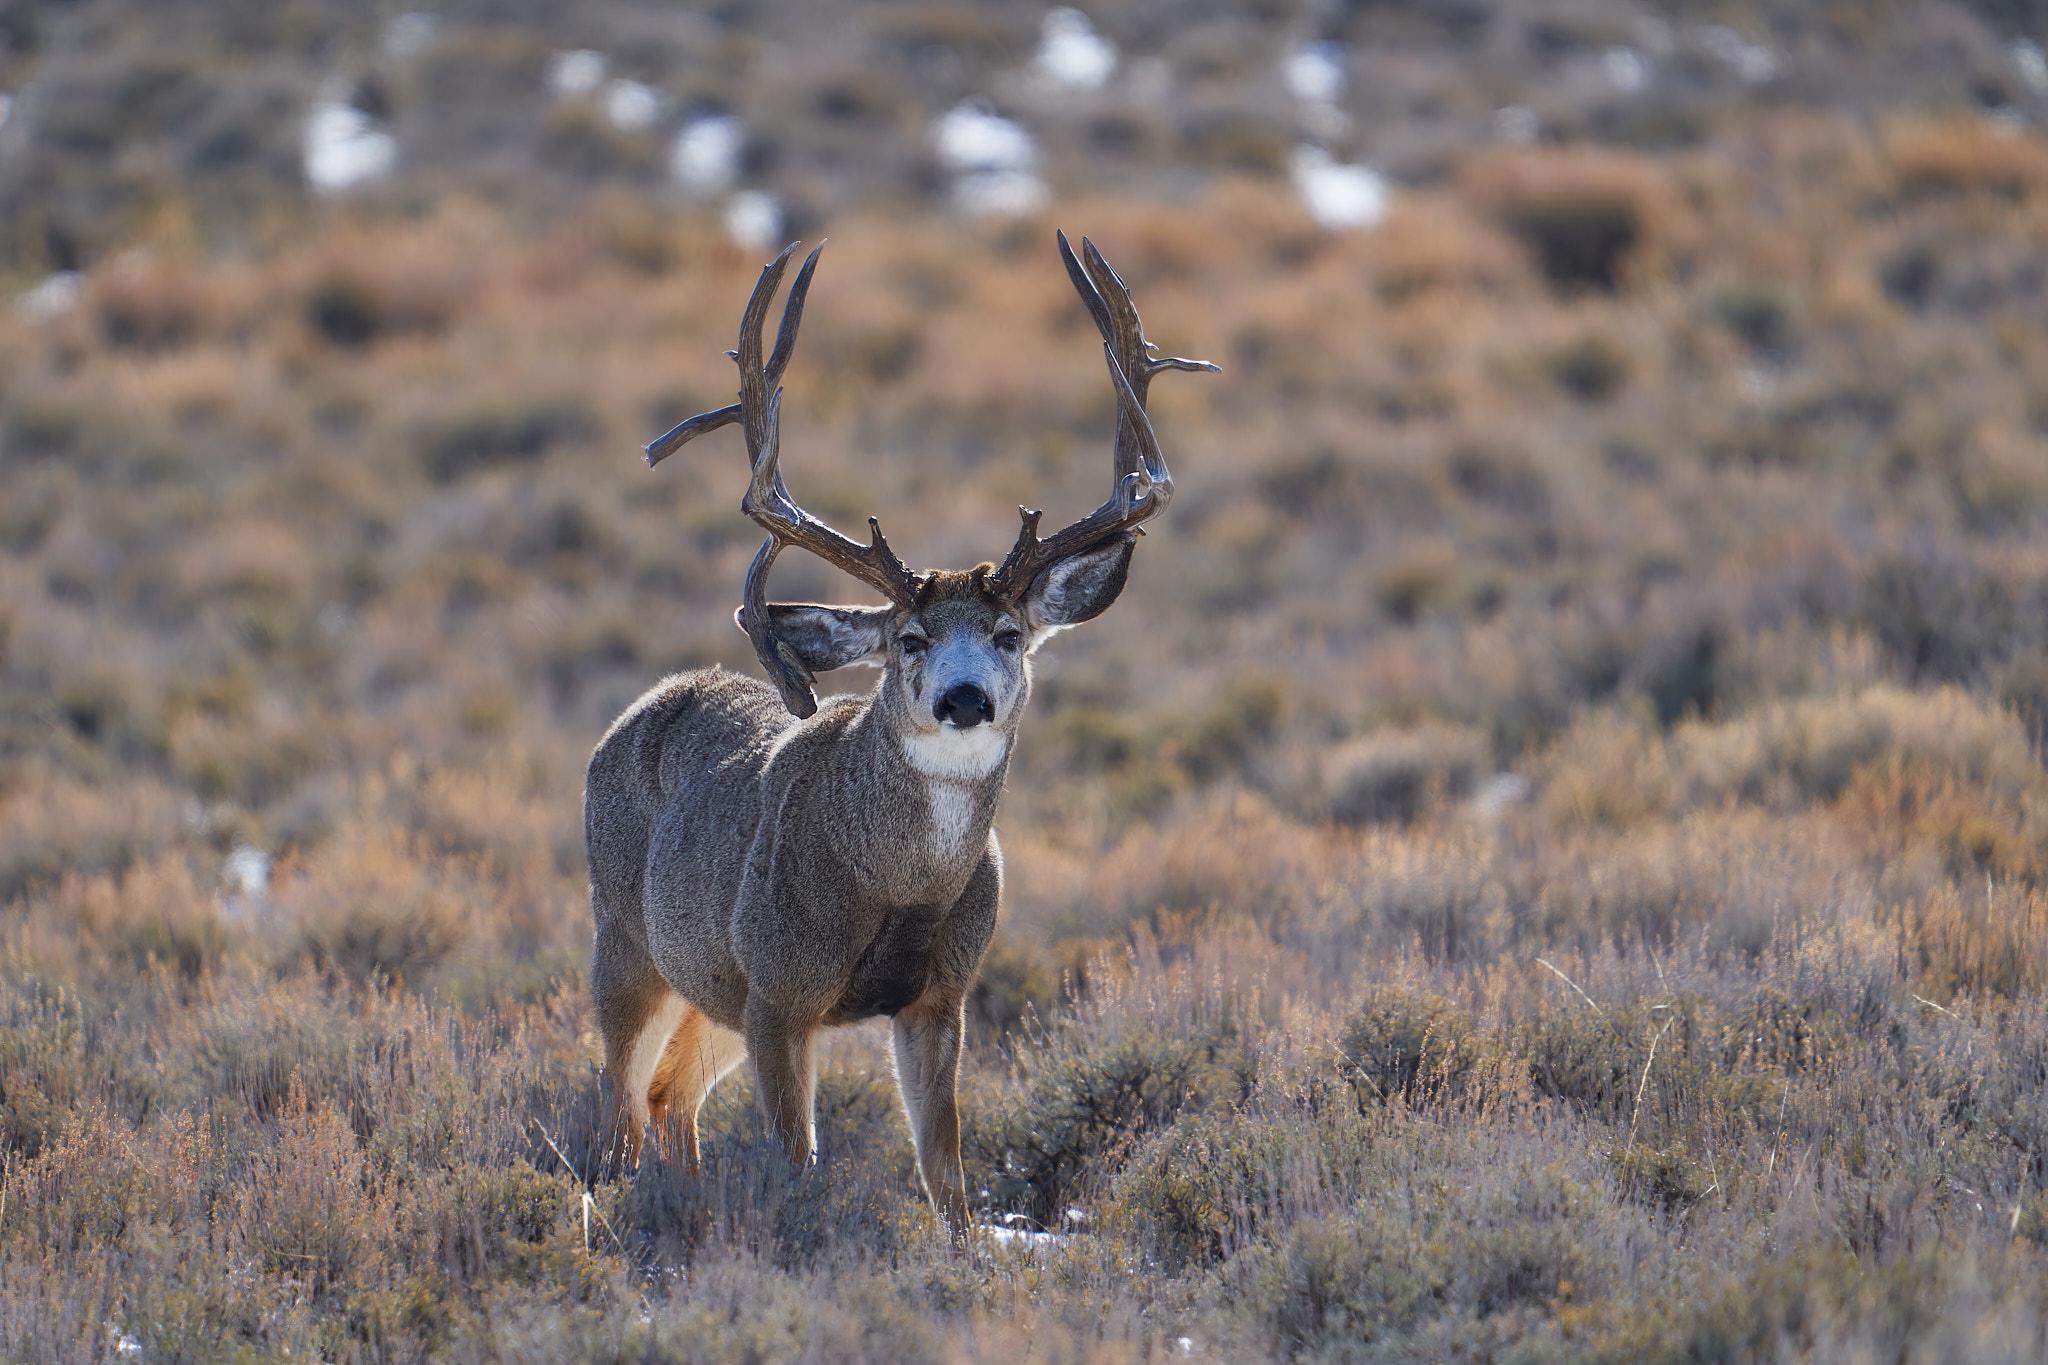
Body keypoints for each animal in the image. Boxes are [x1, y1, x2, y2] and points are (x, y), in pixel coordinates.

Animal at [583, 231, 1214, 1239]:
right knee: (616, 1112)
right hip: (625, 938)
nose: (963, 699)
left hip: (711, 992)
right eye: (910, 638)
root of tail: (638, 709)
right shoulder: (781, 990)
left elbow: (945, 1172)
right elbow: (797, 1161)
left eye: (1007, 633)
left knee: (668, 1099)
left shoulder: (940, 998)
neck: (896, 884)